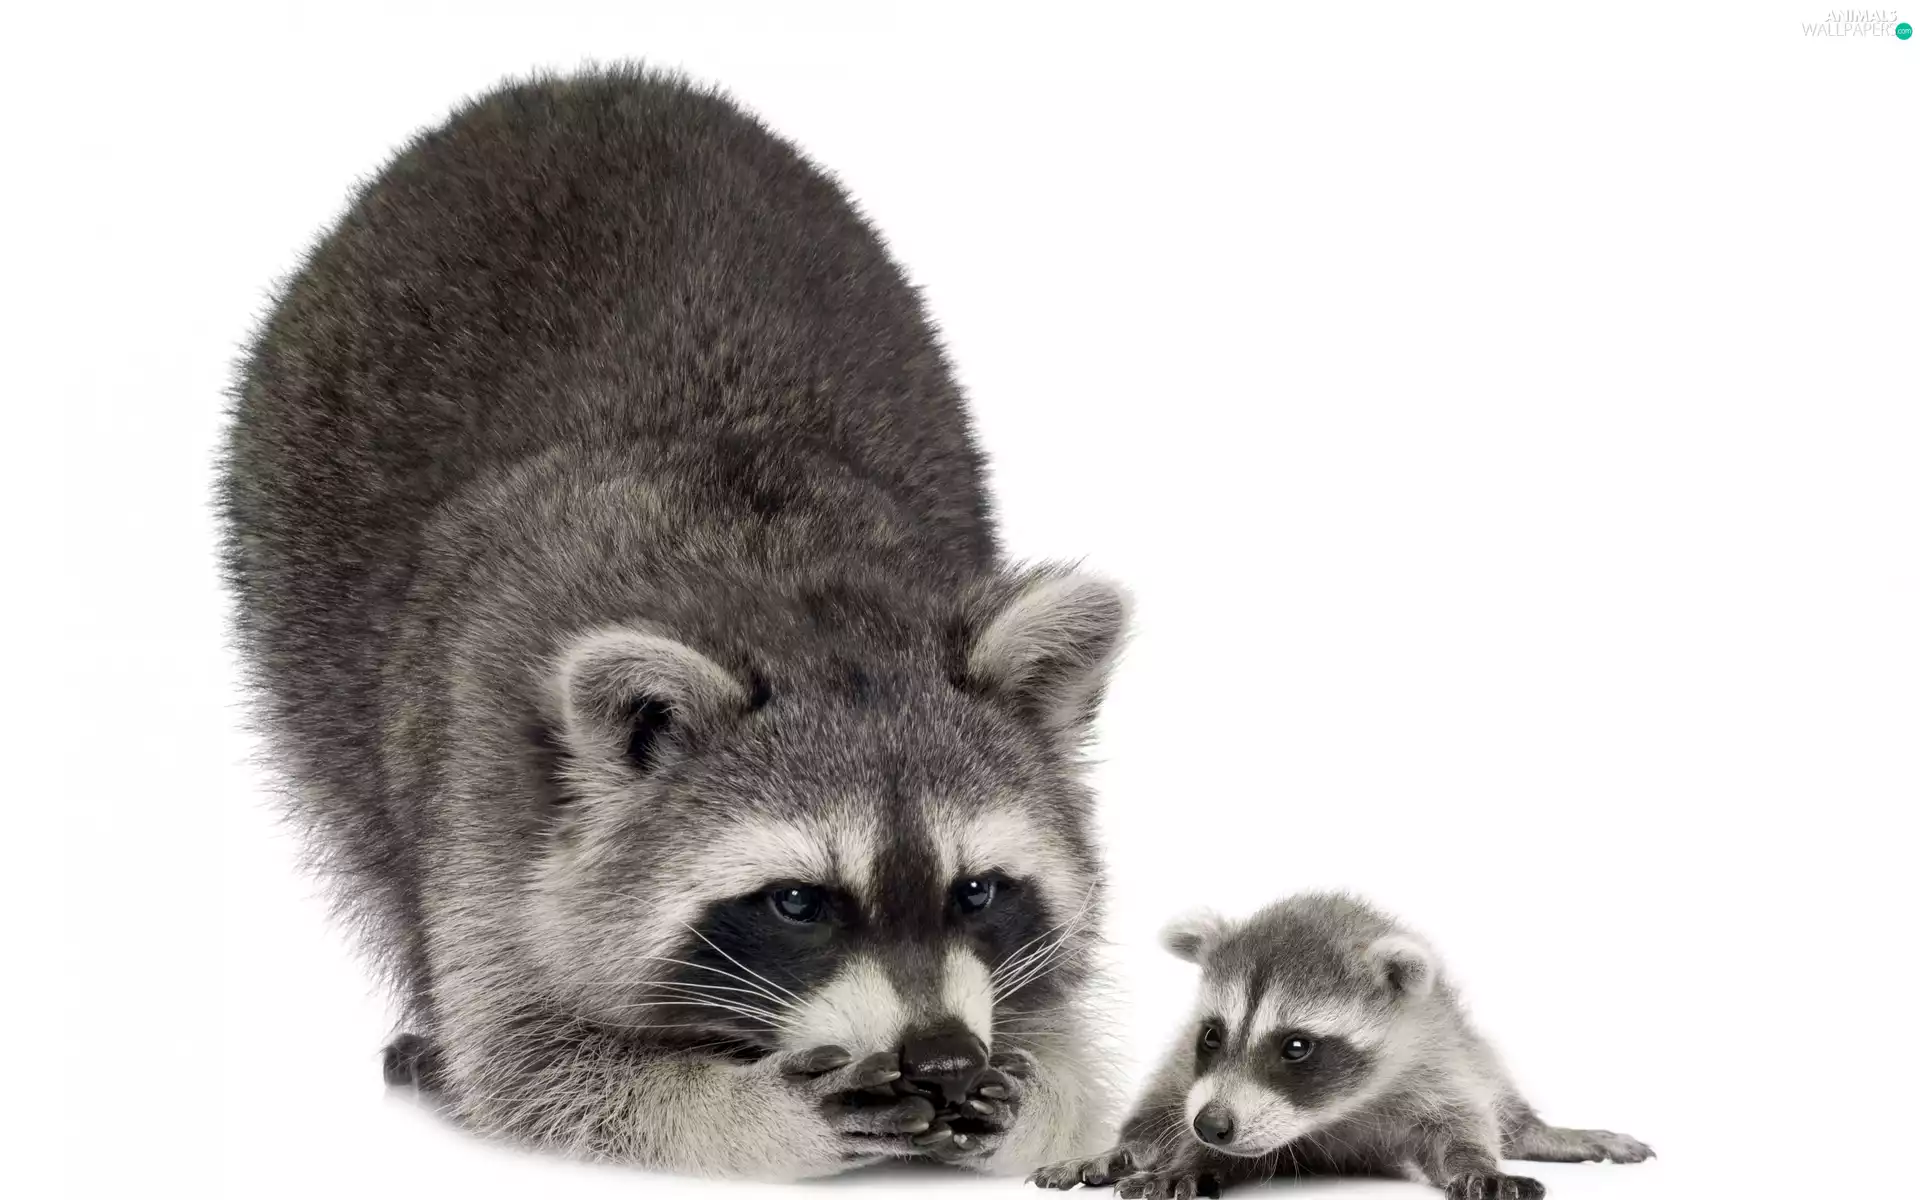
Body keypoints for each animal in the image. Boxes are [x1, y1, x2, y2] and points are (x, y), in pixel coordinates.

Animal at [218, 67, 1126, 1179]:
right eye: (797, 901)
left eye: (978, 892)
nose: (944, 1058)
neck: (791, 594)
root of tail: (583, 84)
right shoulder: (493, 779)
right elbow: (529, 1062)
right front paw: (758, 1109)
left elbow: (1072, 1051)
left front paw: (1035, 1087)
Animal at [1031, 893, 1652, 1199]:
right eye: (1213, 1034)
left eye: (1296, 1046)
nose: (1211, 1126)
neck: (1331, 1115)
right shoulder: (1194, 1066)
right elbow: (1185, 1123)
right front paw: (1186, 1156)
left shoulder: (1435, 1058)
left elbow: (1462, 1125)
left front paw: (1478, 1160)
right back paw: (1130, 1146)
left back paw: (1538, 1130)